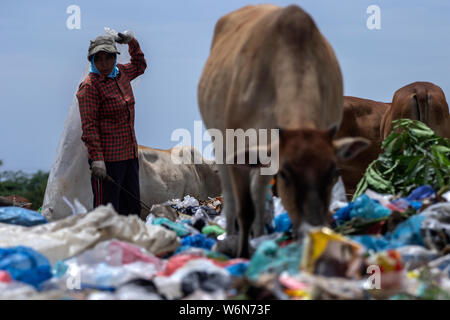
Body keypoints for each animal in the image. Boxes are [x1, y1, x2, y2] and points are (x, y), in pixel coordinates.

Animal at [199, 4, 368, 258]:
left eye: (333, 173)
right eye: (286, 174)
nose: (312, 231)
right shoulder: (238, 151)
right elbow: (244, 209)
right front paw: (242, 254)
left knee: (259, 192)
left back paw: (260, 235)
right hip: (219, 142)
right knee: (230, 197)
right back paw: (229, 237)